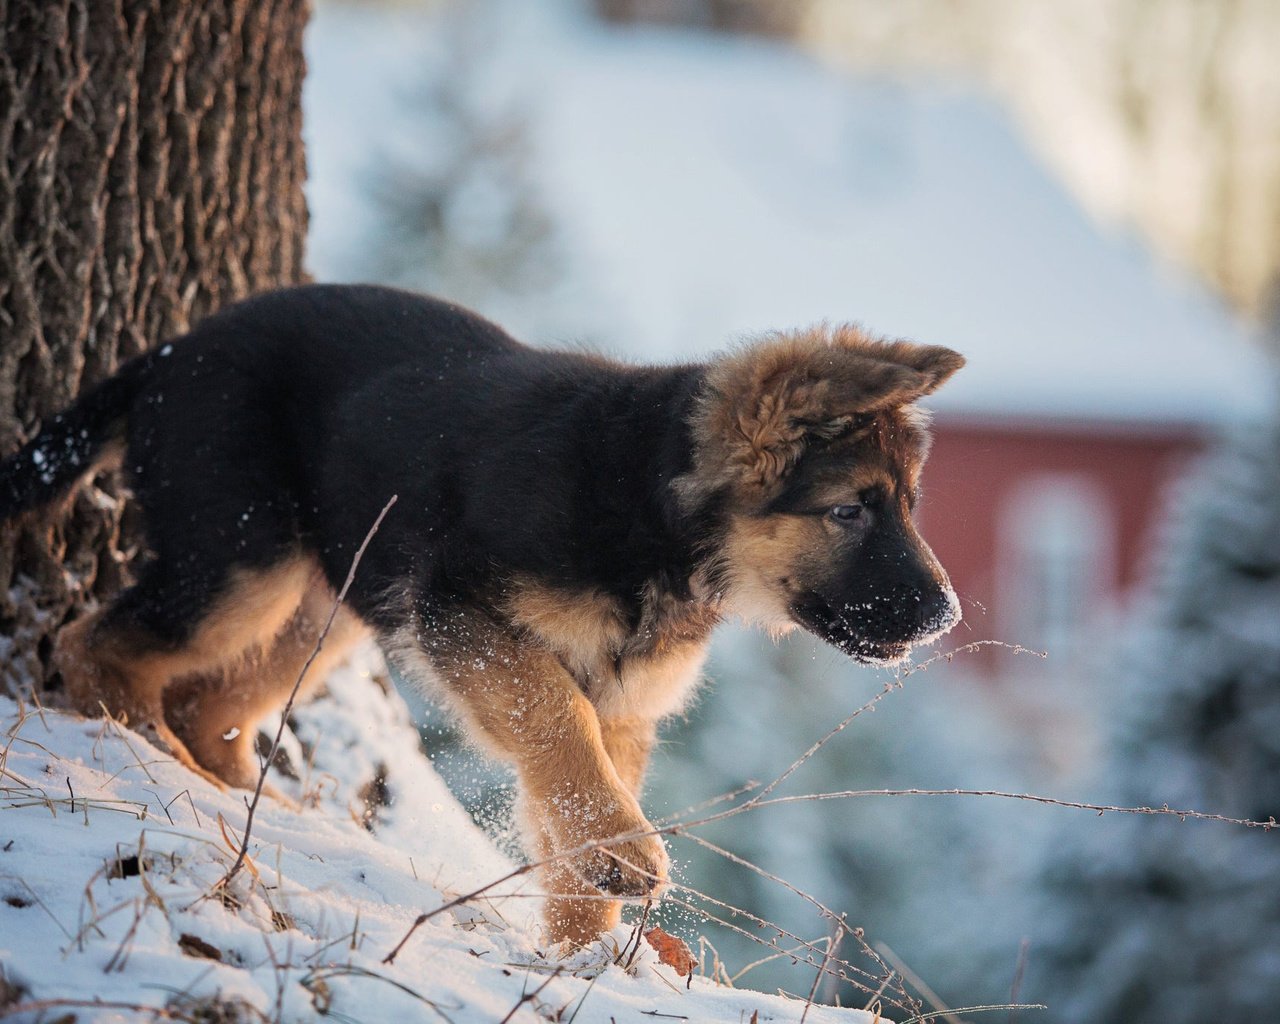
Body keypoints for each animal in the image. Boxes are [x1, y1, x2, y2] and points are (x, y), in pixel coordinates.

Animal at [0, 284, 962, 942]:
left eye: (913, 505)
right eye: (850, 511)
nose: (945, 620)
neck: (649, 508)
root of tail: (171, 349)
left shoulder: (621, 703)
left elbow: (570, 788)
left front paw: (577, 954)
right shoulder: (464, 610)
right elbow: (556, 718)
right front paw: (624, 855)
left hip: (330, 603)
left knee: (210, 699)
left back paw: (245, 798)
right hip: (242, 562)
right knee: (93, 642)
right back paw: (145, 755)